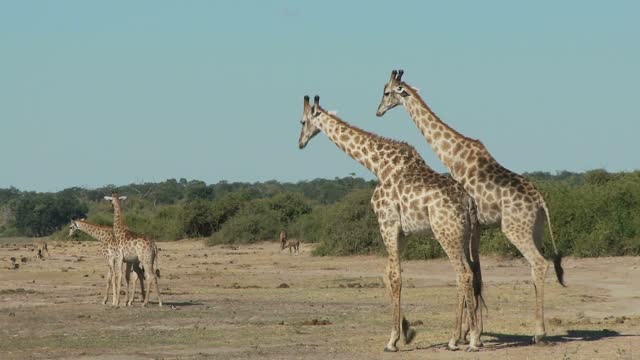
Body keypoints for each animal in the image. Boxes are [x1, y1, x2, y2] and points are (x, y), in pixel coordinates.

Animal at [298, 95, 482, 352]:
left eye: (302, 121)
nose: (300, 143)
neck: (378, 166)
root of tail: (469, 201)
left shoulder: (387, 223)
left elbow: (395, 277)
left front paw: (393, 339)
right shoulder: (403, 233)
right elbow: (386, 274)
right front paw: (406, 331)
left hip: (447, 234)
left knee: (463, 274)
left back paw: (472, 339)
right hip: (467, 236)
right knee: (469, 274)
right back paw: (455, 338)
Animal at [376, 69, 564, 344]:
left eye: (386, 92)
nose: (378, 111)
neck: (454, 157)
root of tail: (541, 201)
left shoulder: (471, 223)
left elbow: (470, 273)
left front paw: (464, 335)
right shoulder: (478, 227)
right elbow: (476, 273)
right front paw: (472, 332)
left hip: (514, 228)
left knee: (539, 263)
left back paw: (539, 332)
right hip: (536, 229)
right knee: (535, 266)